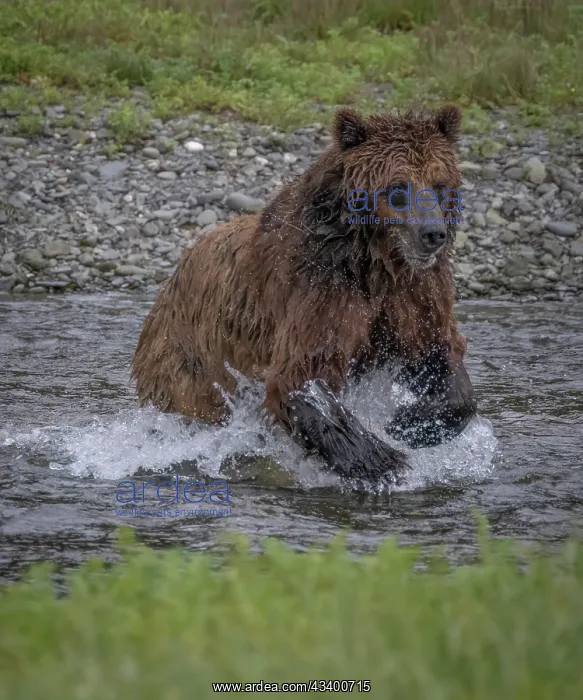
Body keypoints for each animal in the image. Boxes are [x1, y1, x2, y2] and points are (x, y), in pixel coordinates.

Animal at [131, 104, 477, 485]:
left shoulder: (415, 294)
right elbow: (302, 375)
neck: (374, 261)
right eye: (398, 187)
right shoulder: (321, 290)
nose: (433, 233)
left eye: (440, 183)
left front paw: (411, 424)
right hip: (189, 362)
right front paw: (383, 460)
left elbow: (436, 352)